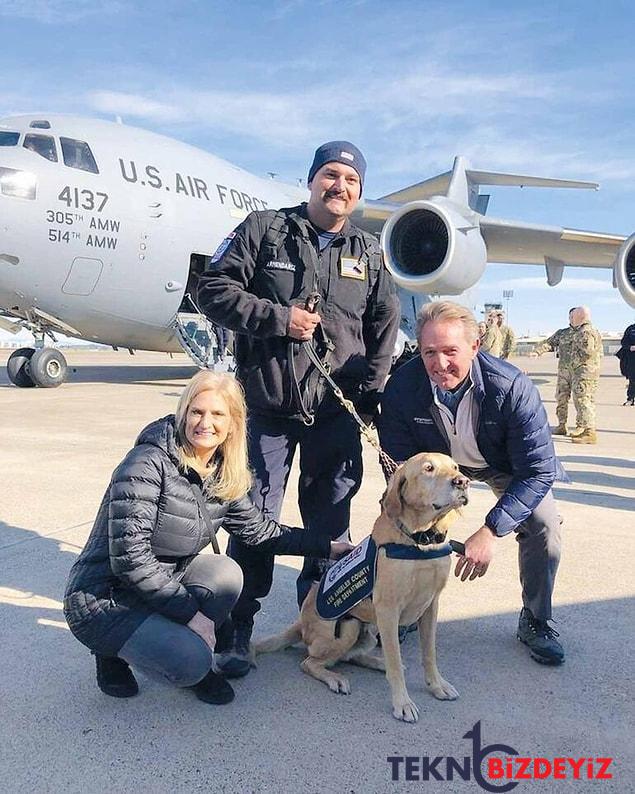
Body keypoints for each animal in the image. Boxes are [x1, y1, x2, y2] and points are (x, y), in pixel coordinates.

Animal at [256, 452, 470, 716]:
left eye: (456, 467)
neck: (420, 540)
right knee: (310, 662)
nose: (463, 482)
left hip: (369, 631)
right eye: (428, 469)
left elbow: (429, 654)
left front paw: (437, 685)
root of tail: (301, 624)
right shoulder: (388, 611)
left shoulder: (431, 606)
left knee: (352, 656)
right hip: (346, 630)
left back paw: (377, 663)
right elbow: (395, 662)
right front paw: (402, 703)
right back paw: (336, 677)